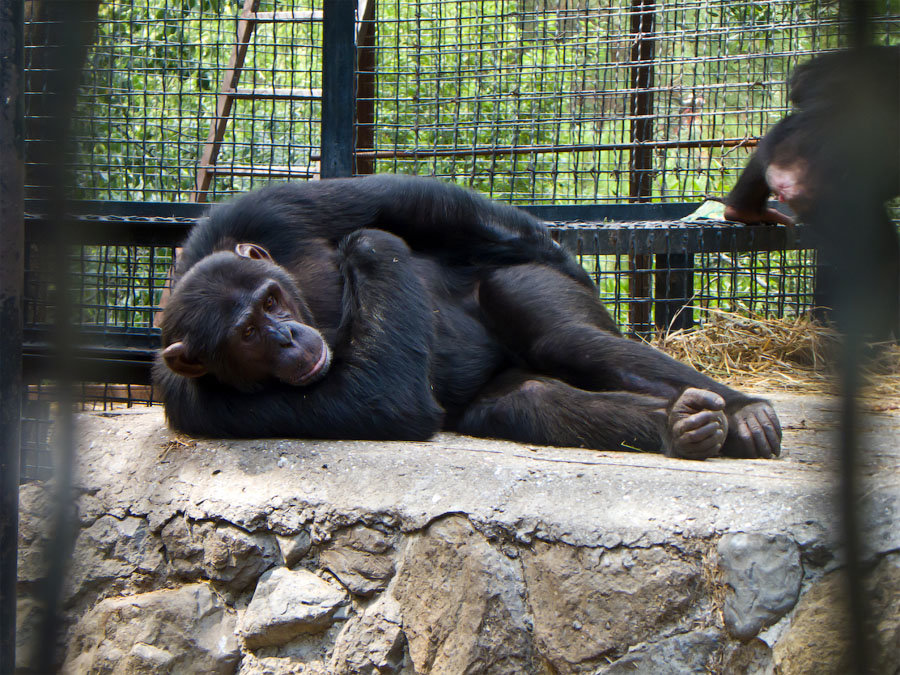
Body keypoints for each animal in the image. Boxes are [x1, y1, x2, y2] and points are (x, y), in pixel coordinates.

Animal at [158, 174, 784, 460]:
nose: (285, 336)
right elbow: (379, 400)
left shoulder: (268, 212)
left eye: (270, 302)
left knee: (566, 334)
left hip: (522, 292)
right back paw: (685, 426)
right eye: (247, 334)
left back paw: (742, 412)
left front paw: (365, 245)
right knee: (533, 401)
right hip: (497, 387)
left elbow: (401, 203)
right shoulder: (198, 406)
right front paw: (368, 251)